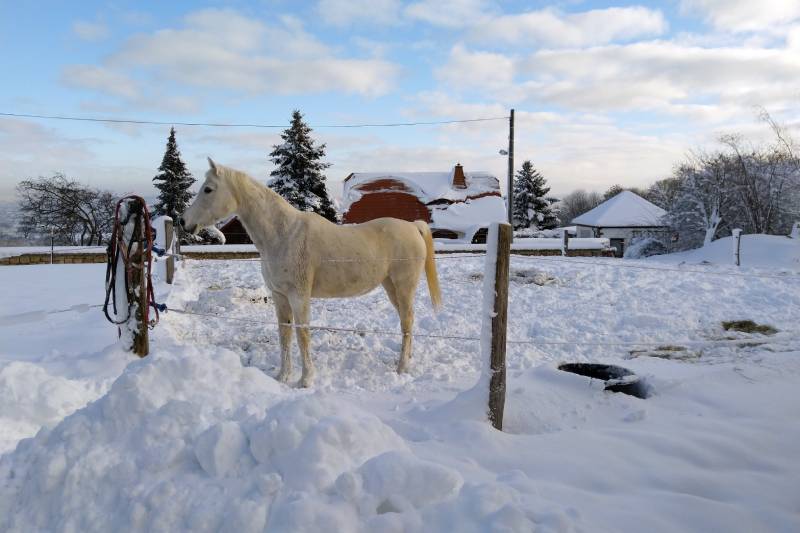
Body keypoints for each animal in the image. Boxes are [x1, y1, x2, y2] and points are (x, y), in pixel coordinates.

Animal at [182, 158, 440, 386]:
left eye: (208, 189)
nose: (184, 221)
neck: (284, 234)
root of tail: (413, 227)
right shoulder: (280, 296)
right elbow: (284, 335)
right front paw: (283, 377)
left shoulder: (299, 297)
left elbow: (302, 336)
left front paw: (305, 380)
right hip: (390, 287)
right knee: (407, 321)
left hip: (404, 287)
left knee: (407, 321)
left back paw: (402, 367)